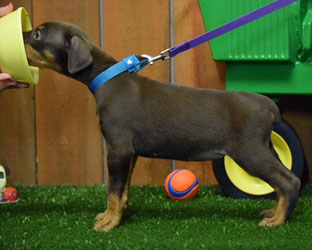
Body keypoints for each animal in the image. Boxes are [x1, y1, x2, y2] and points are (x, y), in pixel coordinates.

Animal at [22, 21, 300, 232]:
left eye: (37, 34)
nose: (18, 34)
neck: (107, 79)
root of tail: (267, 104)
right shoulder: (130, 153)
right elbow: (123, 191)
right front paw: (113, 217)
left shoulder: (118, 149)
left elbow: (113, 190)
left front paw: (109, 223)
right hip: (264, 148)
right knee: (281, 183)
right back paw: (274, 212)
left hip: (249, 153)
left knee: (289, 181)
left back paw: (278, 221)